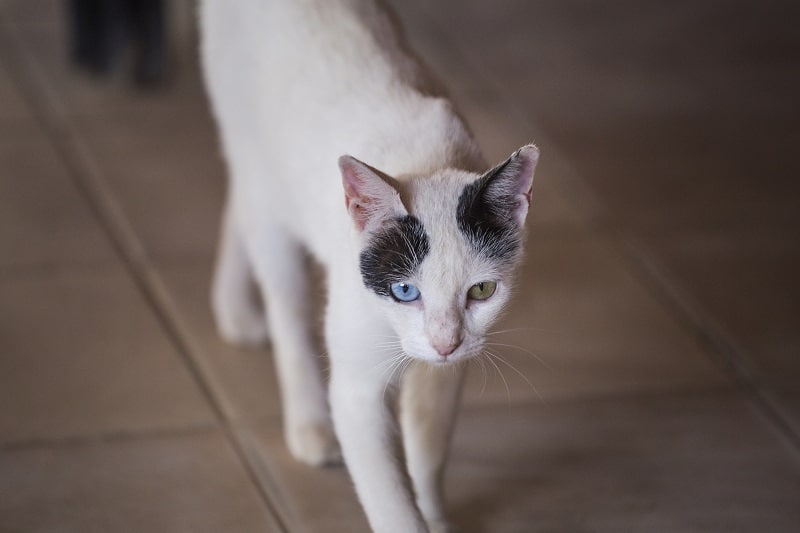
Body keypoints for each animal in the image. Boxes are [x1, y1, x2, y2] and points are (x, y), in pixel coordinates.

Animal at [200, 1, 536, 532]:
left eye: (481, 291)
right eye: (404, 291)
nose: (445, 342)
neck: (429, 161)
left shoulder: (448, 373)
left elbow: (428, 450)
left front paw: (435, 516)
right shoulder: (358, 393)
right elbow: (393, 503)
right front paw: (411, 515)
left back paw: (233, 308)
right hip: (256, 159)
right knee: (284, 295)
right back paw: (308, 421)